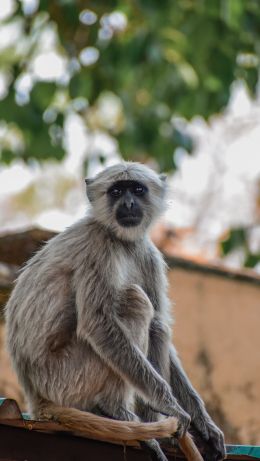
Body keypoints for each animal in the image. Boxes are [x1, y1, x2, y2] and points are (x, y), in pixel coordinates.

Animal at [5, 163, 225, 460]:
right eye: (117, 191)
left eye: (138, 189)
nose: (129, 203)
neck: (119, 239)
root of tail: (36, 397)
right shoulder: (97, 246)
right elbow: (98, 323)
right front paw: (170, 406)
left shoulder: (147, 253)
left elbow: (158, 321)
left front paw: (205, 425)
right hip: (66, 377)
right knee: (133, 301)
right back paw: (117, 411)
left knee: (155, 324)